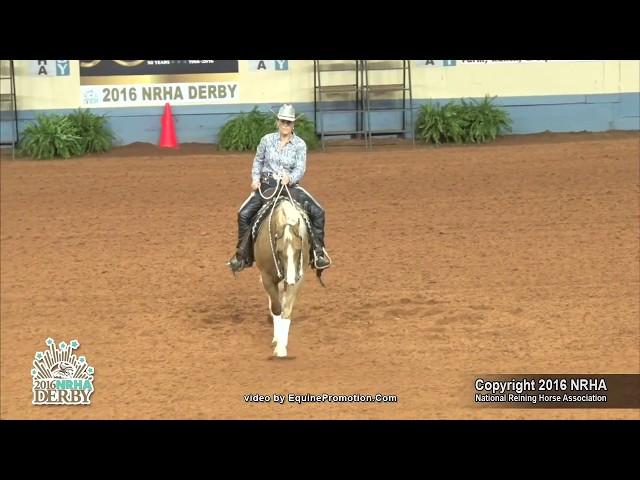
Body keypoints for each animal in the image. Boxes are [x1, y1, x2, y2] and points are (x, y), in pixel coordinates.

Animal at [256, 184, 314, 356]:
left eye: (299, 249)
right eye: (279, 251)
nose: (290, 278)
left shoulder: (298, 277)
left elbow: (286, 310)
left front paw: (282, 348)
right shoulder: (267, 277)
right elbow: (276, 308)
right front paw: (277, 342)